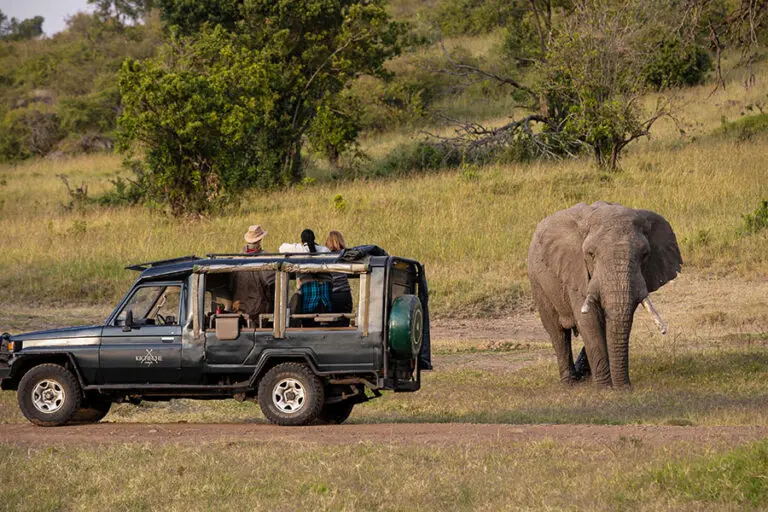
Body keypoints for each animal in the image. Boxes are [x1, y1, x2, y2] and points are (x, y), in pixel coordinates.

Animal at [527, 201, 682, 387]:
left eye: (645, 255)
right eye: (591, 254)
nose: (625, 388)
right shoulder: (577, 272)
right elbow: (589, 321)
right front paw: (604, 387)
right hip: (537, 281)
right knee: (557, 332)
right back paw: (570, 383)